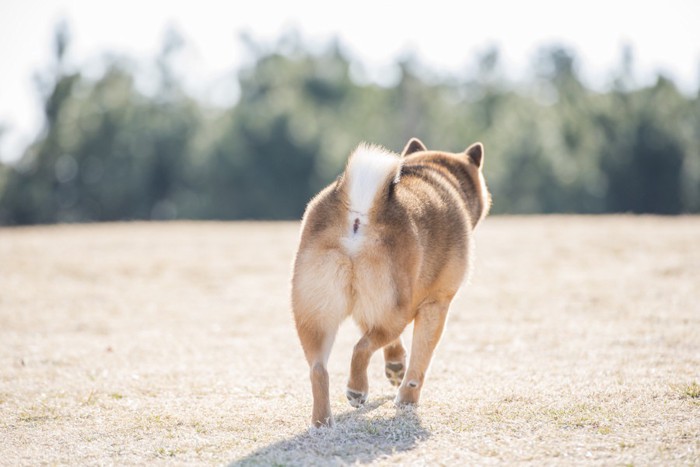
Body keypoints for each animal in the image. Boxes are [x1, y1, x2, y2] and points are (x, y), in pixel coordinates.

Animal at [292, 137, 490, 426]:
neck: (438, 174)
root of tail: (360, 211)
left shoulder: (367, 308)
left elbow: (392, 346)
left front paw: (395, 366)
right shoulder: (437, 303)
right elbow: (420, 363)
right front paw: (407, 400)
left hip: (316, 315)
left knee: (319, 369)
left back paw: (322, 421)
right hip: (398, 310)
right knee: (362, 348)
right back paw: (357, 390)